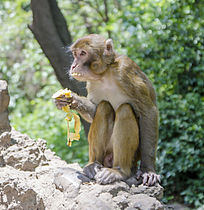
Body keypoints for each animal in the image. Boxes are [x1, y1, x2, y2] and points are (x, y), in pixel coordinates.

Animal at [55, 34, 160, 185]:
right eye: (75, 54)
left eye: (83, 53)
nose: (73, 65)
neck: (105, 74)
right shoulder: (92, 82)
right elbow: (94, 111)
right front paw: (71, 100)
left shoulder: (125, 70)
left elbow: (148, 112)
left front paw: (148, 170)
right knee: (104, 107)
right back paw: (93, 165)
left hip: (133, 156)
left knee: (125, 110)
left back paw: (119, 171)